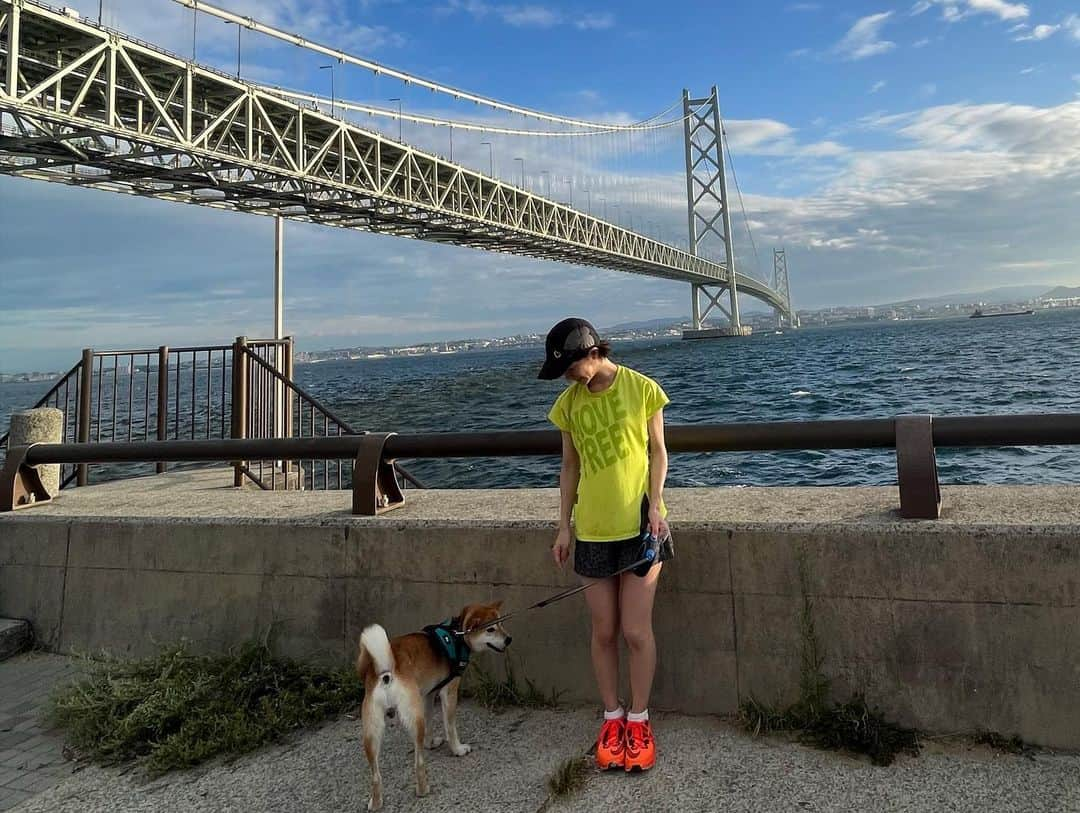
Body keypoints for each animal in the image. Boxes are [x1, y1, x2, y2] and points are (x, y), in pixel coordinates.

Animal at [352, 600, 507, 807]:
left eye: (501, 624)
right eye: (490, 629)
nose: (509, 639)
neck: (457, 633)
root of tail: (385, 671)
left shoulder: (427, 696)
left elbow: (430, 722)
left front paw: (431, 743)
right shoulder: (449, 691)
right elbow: (450, 727)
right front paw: (457, 749)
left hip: (372, 731)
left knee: (376, 775)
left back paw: (376, 803)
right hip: (413, 718)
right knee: (418, 762)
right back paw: (423, 790)